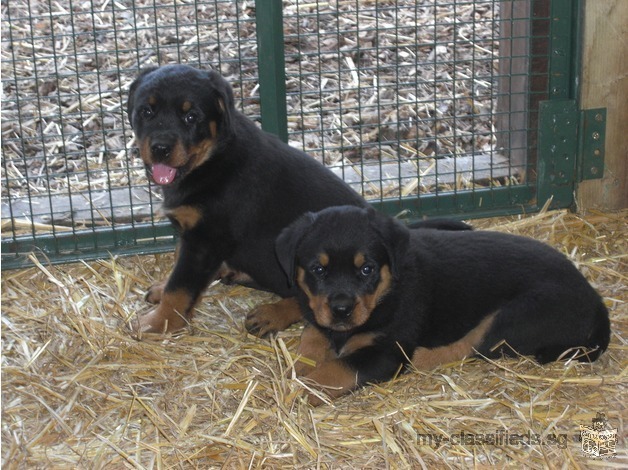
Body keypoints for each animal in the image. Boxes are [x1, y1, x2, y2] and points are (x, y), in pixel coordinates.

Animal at [127, 64, 468, 336]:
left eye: (191, 116)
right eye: (146, 111)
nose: (160, 148)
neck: (211, 160)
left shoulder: (206, 239)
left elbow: (181, 286)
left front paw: (157, 323)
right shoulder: (193, 235)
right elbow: (178, 270)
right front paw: (161, 292)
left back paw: (272, 314)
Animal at [278, 207, 612, 406]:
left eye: (366, 270)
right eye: (318, 270)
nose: (342, 309)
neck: (388, 291)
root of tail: (598, 305)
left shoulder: (386, 351)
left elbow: (339, 368)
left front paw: (306, 388)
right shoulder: (319, 316)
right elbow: (311, 335)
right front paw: (300, 367)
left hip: (516, 316)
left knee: (471, 346)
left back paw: (422, 358)